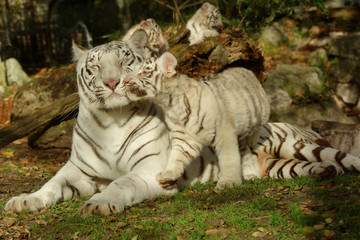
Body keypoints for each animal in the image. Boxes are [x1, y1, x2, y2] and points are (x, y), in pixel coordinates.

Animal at [125, 52, 268, 189]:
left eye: (143, 72)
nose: (125, 81)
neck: (170, 104)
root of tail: (242, 68)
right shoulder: (184, 138)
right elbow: (176, 157)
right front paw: (168, 175)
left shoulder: (224, 133)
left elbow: (229, 159)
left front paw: (228, 182)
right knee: (245, 152)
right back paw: (250, 174)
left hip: (262, 109)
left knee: (258, 126)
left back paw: (253, 139)